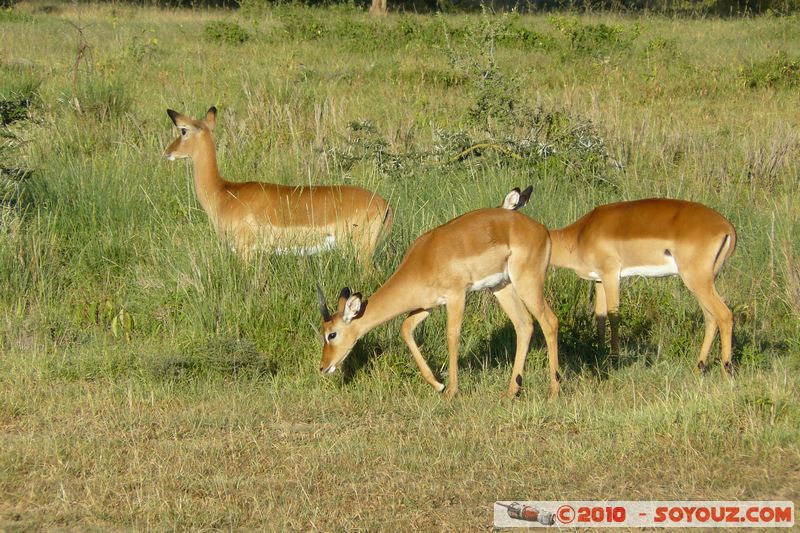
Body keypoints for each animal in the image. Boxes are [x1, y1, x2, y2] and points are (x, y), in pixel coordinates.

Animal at [165, 107, 394, 264]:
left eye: (183, 130)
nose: (168, 151)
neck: (224, 192)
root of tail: (385, 205)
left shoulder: (244, 251)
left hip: (362, 252)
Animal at [316, 189, 560, 396]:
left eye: (332, 334)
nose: (323, 366)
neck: (422, 261)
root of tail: (543, 230)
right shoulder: (428, 305)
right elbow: (406, 328)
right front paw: (438, 384)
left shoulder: (457, 296)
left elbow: (452, 335)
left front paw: (451, 391)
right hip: (502, 287)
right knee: (524, 325)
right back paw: (511, 392)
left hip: (528, 283)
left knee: (550, 321)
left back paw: (553, 391)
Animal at [536, 195, 736, 374]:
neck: (580, 234)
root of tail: (727, 228)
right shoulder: (599, 279)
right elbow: (600, 316)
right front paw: (600, 354)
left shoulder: (611, 275)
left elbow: (613, 315)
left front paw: (614, 358)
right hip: (702, 283)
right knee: (711, 318)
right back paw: (698, 368)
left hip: (697, 281)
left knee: (724, 315)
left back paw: (726, 372)